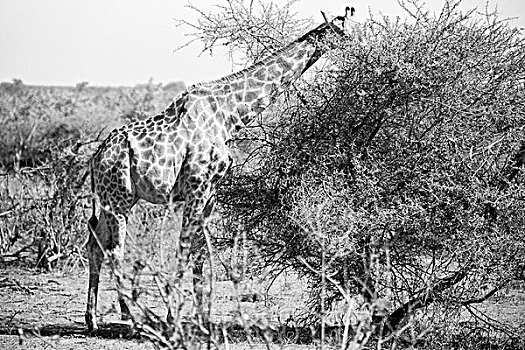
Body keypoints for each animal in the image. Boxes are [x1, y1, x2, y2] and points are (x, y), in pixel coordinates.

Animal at [85, 7, 356, 330]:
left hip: (111, 199)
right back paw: (130, 316)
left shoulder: (211, 193)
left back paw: (92, 319)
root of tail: (96, 156)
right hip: (119, 199)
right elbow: (184, 248)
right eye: (341, 34)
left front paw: (202, 318)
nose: (358, 49)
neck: (230, 116)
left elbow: (200, 252)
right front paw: (173, 317)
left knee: (95, 245)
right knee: (114, 250)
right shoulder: (197, 187)